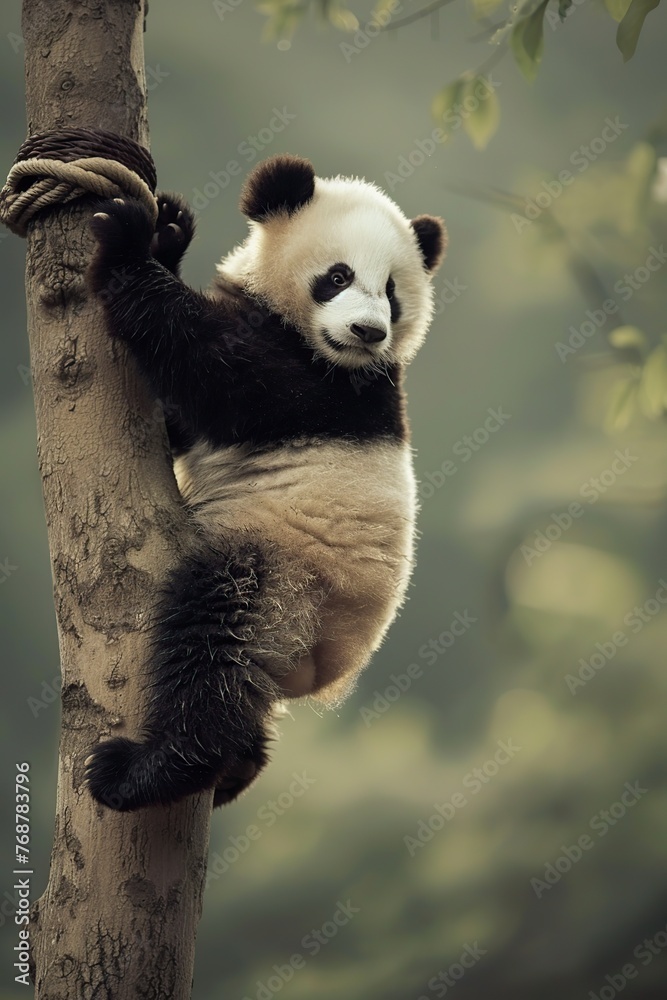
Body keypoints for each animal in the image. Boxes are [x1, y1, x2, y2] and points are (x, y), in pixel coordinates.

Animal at [84, 154, 446, 811]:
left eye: (391, 293)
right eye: (338, 276)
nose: (369, 331)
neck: (319, 347)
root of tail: (321, 666)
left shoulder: (319, 389)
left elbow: (211, 364)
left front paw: (126, 241)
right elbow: (182, 421)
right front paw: (168, 230)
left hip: (285, 578)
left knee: (213, 639)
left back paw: (152, 770)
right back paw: (236, 767)